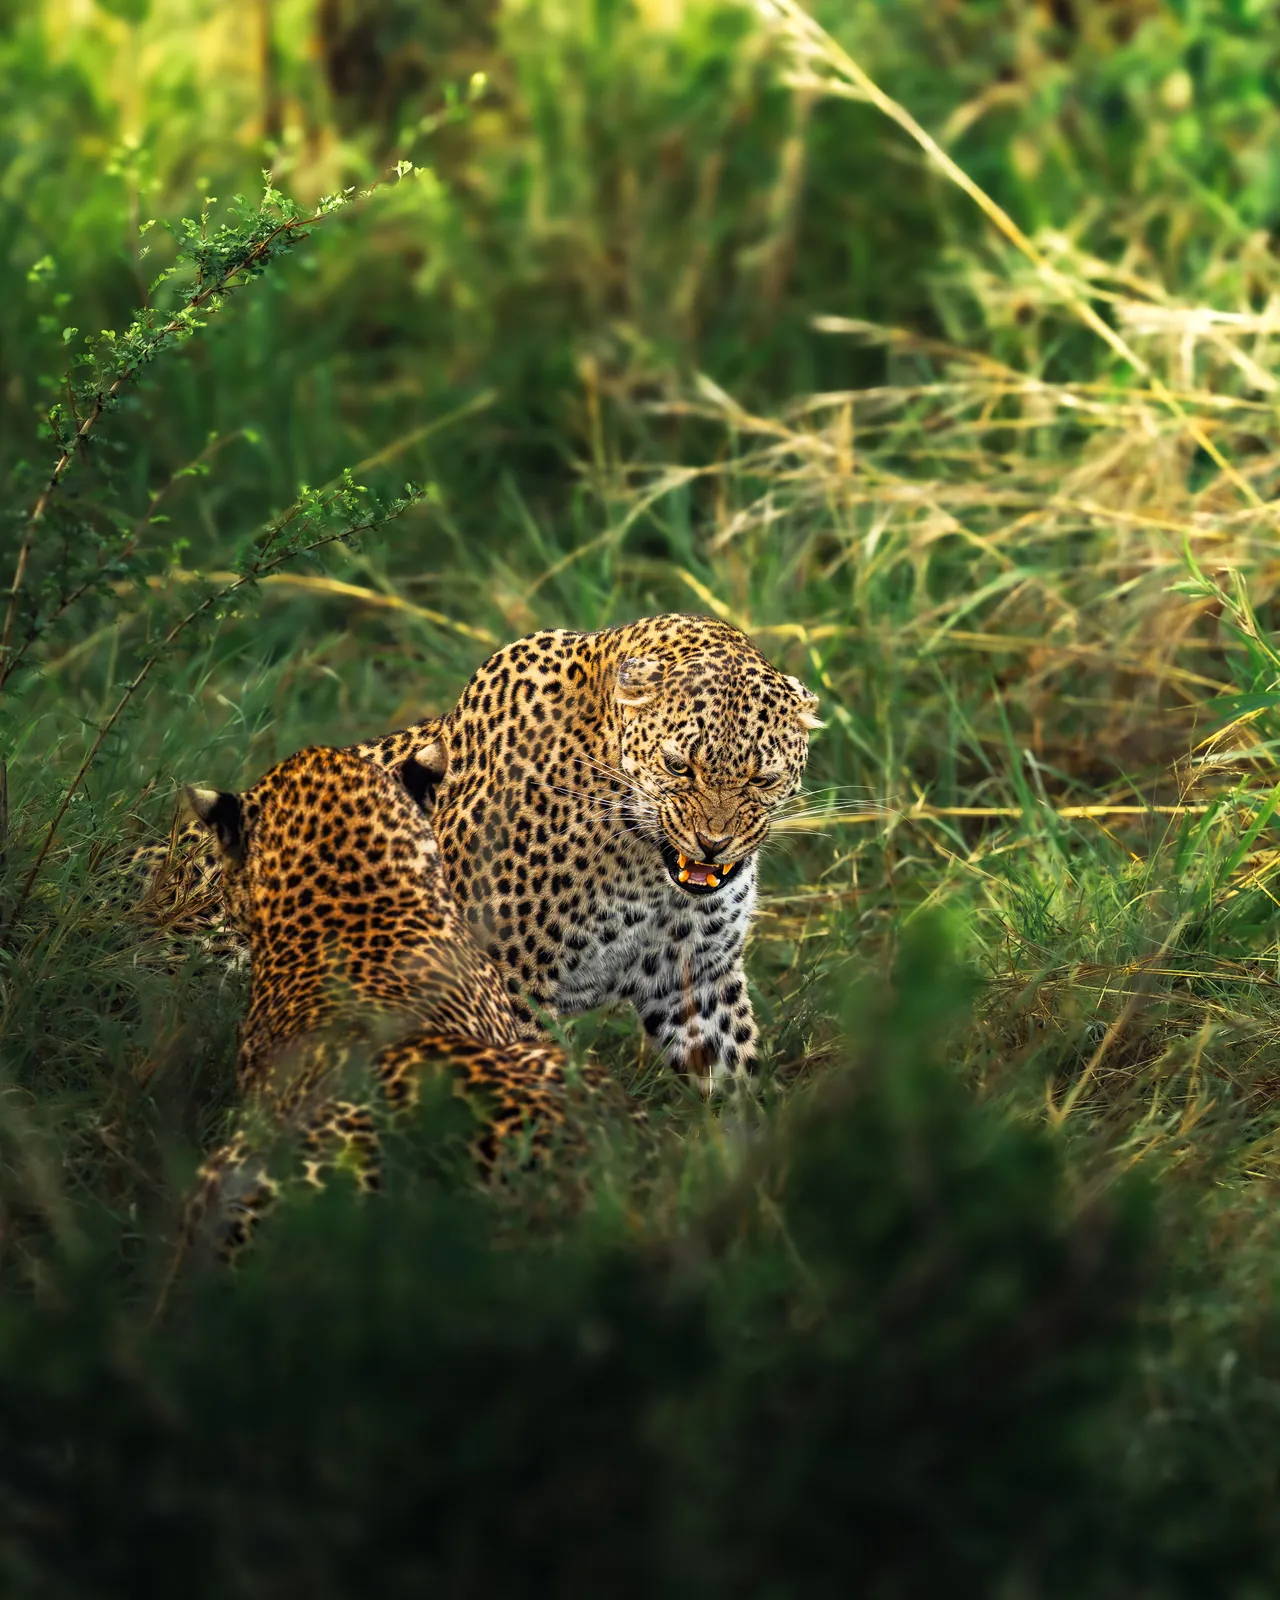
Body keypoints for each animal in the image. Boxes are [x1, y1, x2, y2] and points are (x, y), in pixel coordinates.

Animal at [124, 613, 822, 1092]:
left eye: (763, 779)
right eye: (679, 766)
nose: (714, 843)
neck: (646, 864)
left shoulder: (699, 979)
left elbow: (735, 1082)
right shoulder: (508, 982)